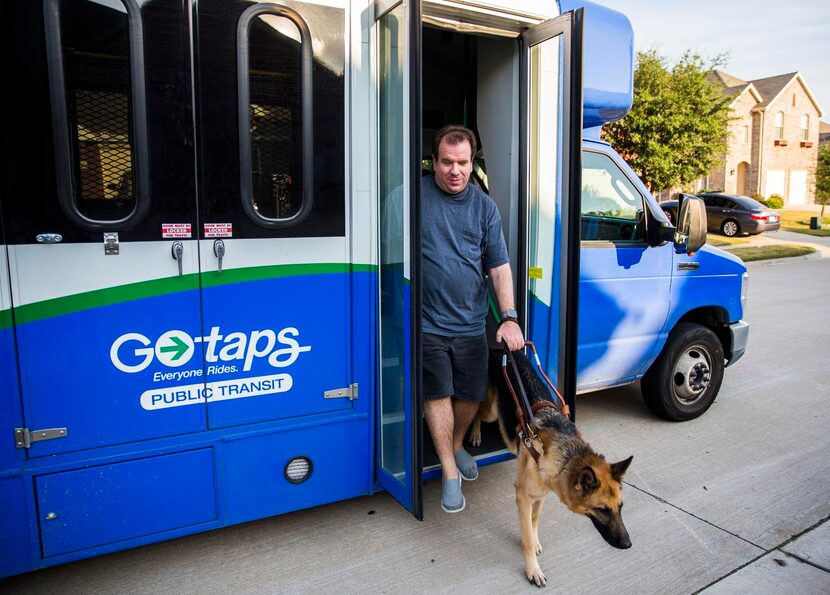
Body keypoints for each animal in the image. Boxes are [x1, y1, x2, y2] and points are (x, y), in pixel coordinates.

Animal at [472, 352, 632, 588]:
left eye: (620, 507)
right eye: (603, 510)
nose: (628, 544)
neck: (563, 454)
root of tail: (506, 352)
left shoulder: (541, 494)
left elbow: (534, 520)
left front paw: (534, 538)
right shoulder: (523, 497)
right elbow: (527, 540)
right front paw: (533, 570)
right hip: (491, 411)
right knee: (477, 414)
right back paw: (474, 434)